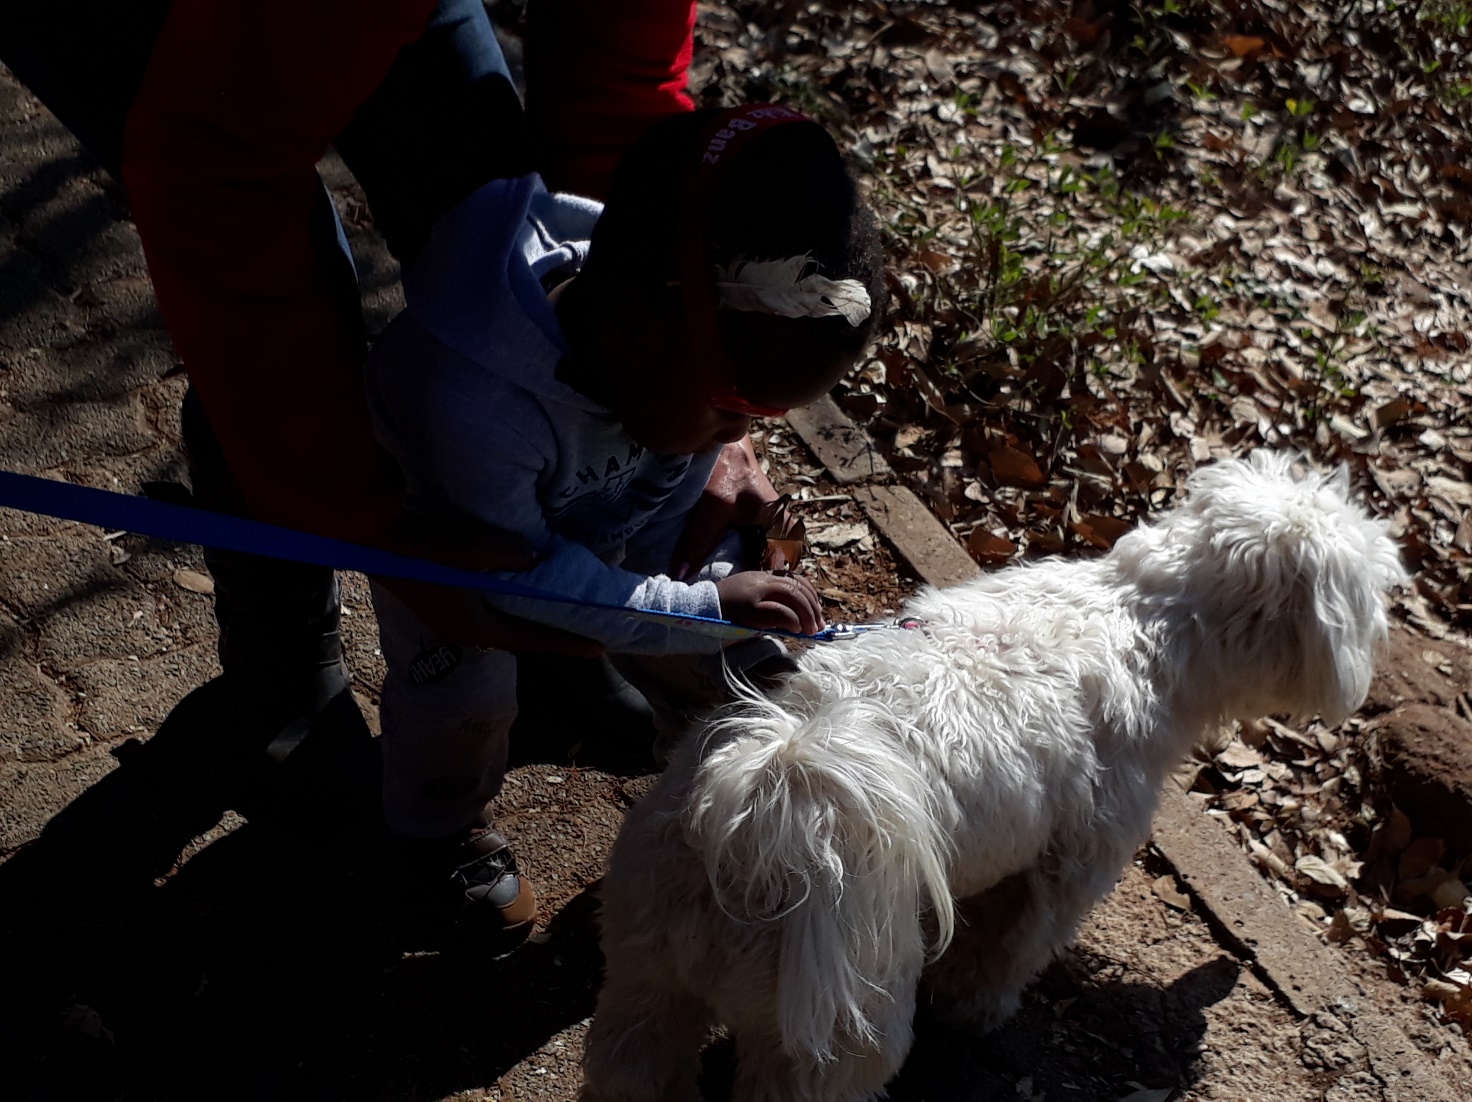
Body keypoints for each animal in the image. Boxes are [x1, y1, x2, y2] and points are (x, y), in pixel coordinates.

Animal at [579, 450, 1407, 1100]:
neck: (1141, 615)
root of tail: (765, 812)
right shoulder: (1075, 863)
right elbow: (1015, 946)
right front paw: (977, 1010)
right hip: (829, 1029)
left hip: (646, 972)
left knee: (635, 1062)